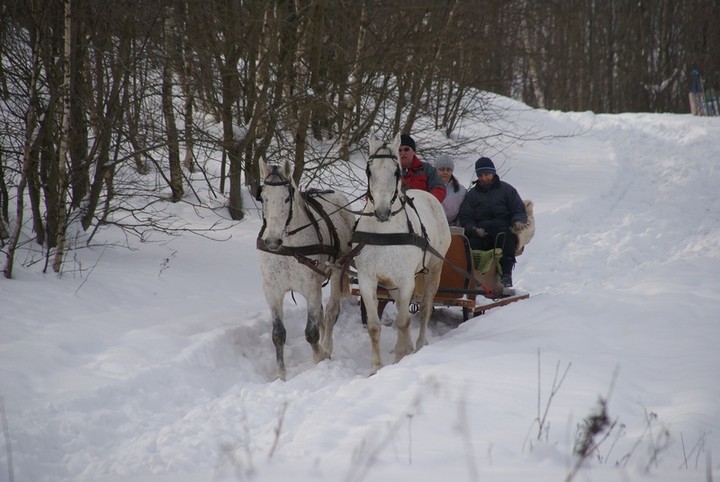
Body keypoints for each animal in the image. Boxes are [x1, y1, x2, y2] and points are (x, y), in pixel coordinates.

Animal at [258, 159, 356, 380]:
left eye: (287, 198)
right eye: (264, 197)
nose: (272, 241)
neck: (289, 248)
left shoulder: (311, 288)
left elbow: (311, 333)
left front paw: (320, 357)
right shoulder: (272, 290)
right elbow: (278, 334)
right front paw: (280, 374)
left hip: (338, 270)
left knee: (331, 311)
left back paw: (327, 346)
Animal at [352, 134, 450, 374]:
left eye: (396, 172)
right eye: (369, 171)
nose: (382, 212)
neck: (385, 232)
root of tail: (429, 196)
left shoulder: (407, 280)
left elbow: (403, 322)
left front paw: (399, 358)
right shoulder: (367, 279)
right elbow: (374, 326)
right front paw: (376, 368)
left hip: (434, 269)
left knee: (424, 309)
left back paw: (419, 345)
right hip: (393, 283)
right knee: (400, 308)